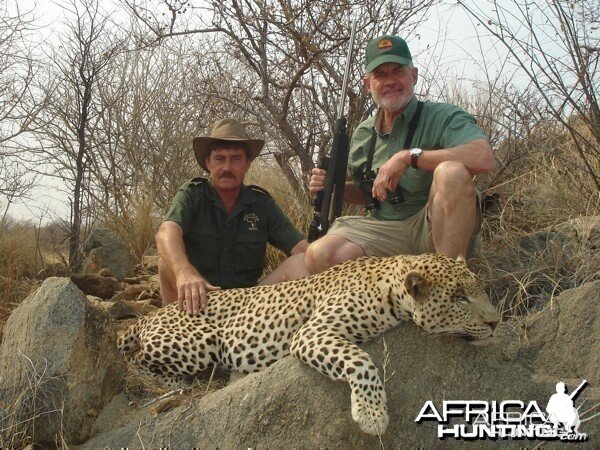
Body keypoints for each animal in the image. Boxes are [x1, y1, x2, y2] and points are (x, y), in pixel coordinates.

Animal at [118, 253, 502, 432]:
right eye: (458, 298)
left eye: (478, 289)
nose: (496, 322)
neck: (391, 287)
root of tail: (153, 313)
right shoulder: (312, 332)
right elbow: (362, 362)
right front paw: (372, 414)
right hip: (199, 341)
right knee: (134, 362)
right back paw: (178, 383)